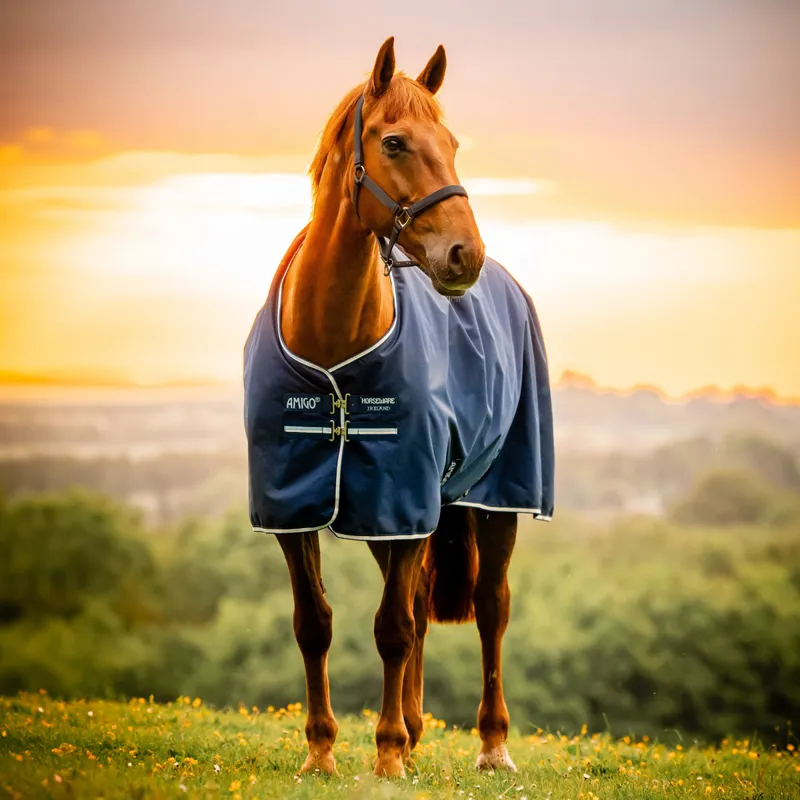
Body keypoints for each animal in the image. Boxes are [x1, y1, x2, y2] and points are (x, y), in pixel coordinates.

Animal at [244, 37, 554, 778]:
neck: (333, 348)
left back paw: (491, 744)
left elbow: (392, 628)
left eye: (453, 142)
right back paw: (413, 730)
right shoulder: (299, 507)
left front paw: (384, 757)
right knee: (414, 601)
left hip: (494, 497)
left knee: (490, 607)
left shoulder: (405, 498)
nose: (465, 255)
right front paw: (322, 753)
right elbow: (315, 624)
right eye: (394, 142)